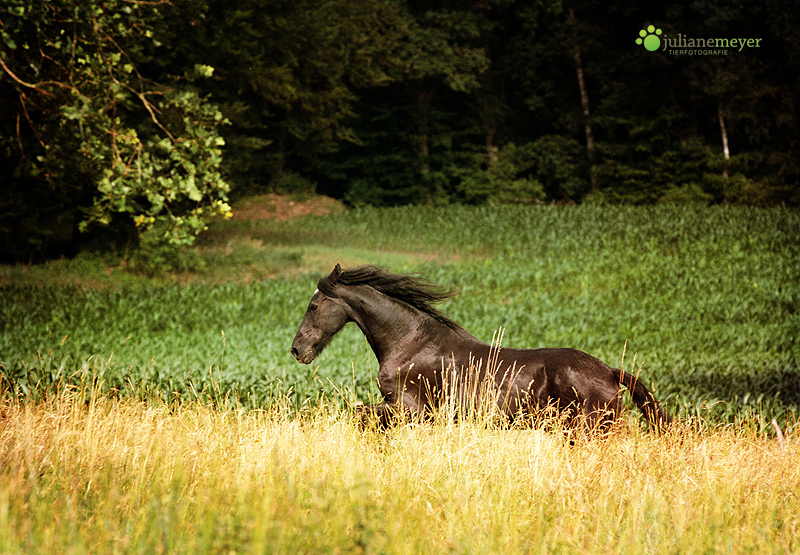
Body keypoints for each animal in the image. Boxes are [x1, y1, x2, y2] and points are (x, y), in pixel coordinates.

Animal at [290, 264, 672, 430]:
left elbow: (360, 415)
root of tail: (609, 372)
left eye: (313, 305)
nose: (296, 350)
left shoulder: (408, 409)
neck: (410, 344)